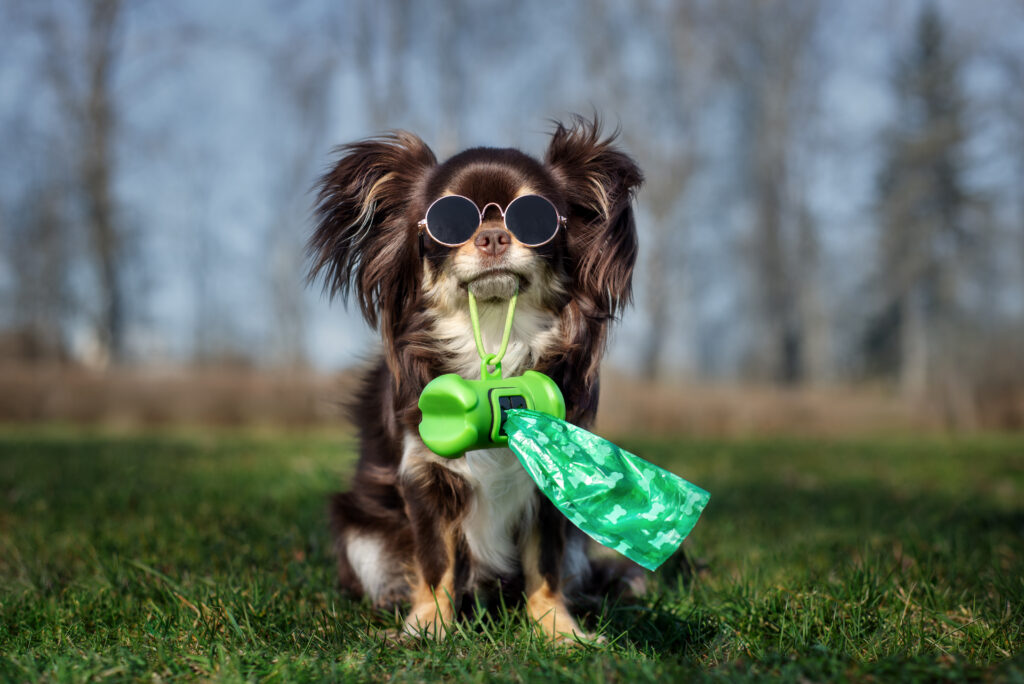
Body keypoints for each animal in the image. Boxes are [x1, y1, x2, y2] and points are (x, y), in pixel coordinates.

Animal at [305, 117, 638, 643]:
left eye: (538, 219)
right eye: (446, 223)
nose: (494, 236)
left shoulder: (552, 481)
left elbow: (545, 565)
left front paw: (558, 631)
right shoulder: (423, 477)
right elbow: (435, 561)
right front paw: (427, 629)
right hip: (361, 528)